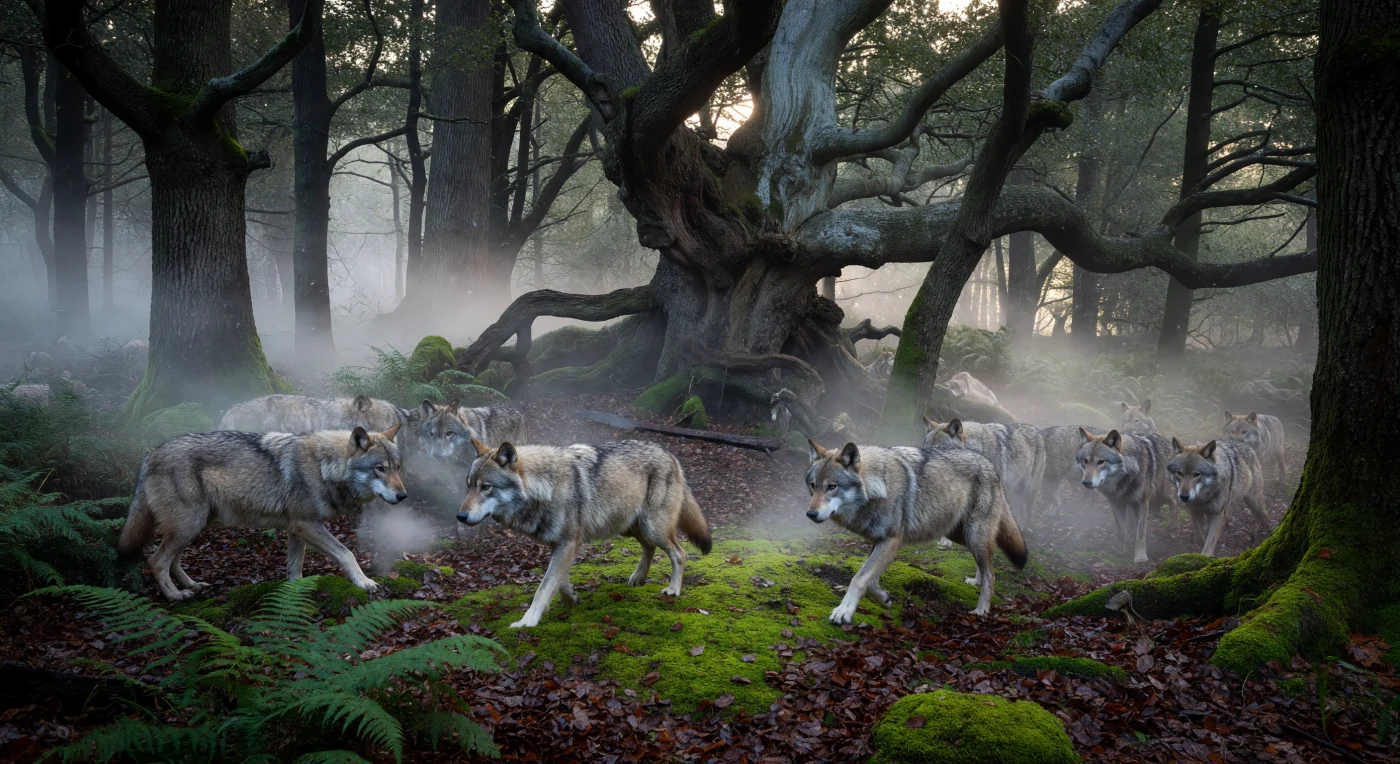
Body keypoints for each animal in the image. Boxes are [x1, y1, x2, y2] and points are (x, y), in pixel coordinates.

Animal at [117, 425, 406, 601]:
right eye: (380, 468)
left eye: (398, 468)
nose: (403, 496)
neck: (324, 467)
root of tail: (150, 454)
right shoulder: (307, 525)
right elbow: (347, 553)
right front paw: (364, 582)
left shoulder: (297, 530)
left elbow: (295, 568)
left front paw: (294, 595)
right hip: (188, 525)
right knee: (156, 561)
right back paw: (175, 596)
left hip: (195, 526)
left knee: (173, 560)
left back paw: (191, 585)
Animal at [456, 439, 711, 628]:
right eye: (468, 486)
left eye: (485, 487)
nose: (460, 516)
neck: (546, 486)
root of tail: (669, 454)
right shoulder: (560, 545)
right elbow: (559, 580)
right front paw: (571, 598)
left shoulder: (568, 543)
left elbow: (543, 587)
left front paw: (527, 621)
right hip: (630, 528)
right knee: (649, 548)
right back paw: (638, 577)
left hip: (653, 528)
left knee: (679, 553)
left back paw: (673, 590)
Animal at [806, 441, 1026, 619]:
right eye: (813, 486)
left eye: (832, 487)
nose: (810, 513)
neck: (879, 485)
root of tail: (991, 467)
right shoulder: (880, 542)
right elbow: (871, 580)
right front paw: (884, 598)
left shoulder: (891, 541)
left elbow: (858, 579)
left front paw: (843, 612)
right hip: (960, 535)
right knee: (987, 561)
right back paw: (975, 581)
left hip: (973, 535)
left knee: (991, 573)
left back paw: (981, 609)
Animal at [1076, 428, 1176, 563]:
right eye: (1085, 461)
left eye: (1101, 461)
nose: (1086, 482)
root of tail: (1167, 441)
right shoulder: (1116, 504)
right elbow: (1121, 531)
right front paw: (1119, 551)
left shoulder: (1142, 503)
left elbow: (1140, 535)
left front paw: (1140, 558)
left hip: (1163, 492)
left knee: (1174, 501)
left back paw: (1173, 526)